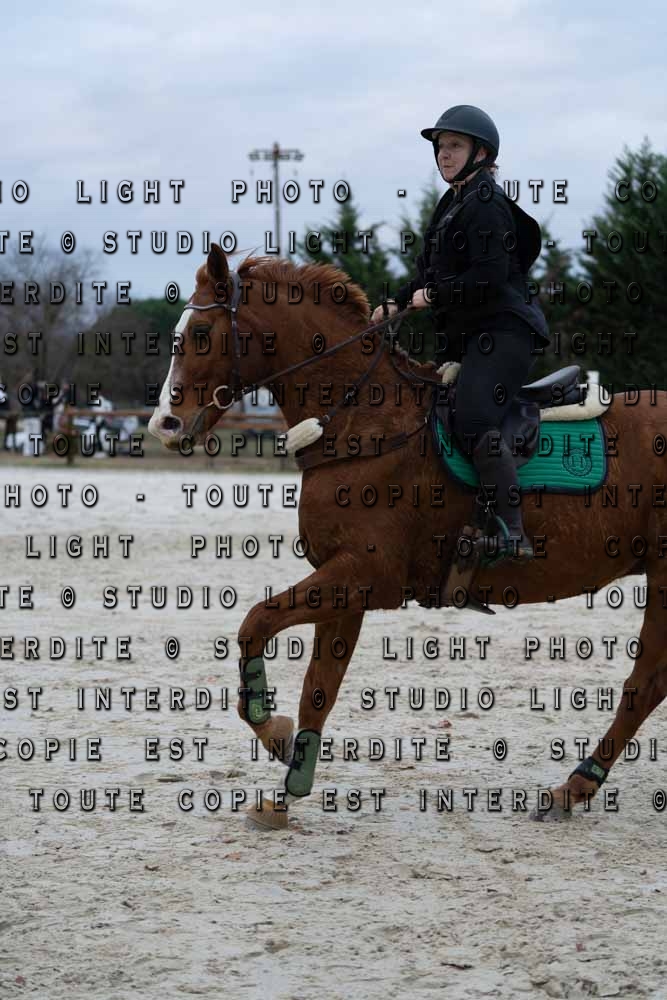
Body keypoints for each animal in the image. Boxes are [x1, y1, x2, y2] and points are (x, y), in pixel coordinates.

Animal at [149, 243, 667, 830]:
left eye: (201, 333)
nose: (165, 424)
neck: (363, 421)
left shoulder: (369, 577)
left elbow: (255, 622)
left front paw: (273, 731)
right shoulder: (344, 583)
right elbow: (317, 688)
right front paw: (287, 787)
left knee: (645, 683)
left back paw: (572, 787)